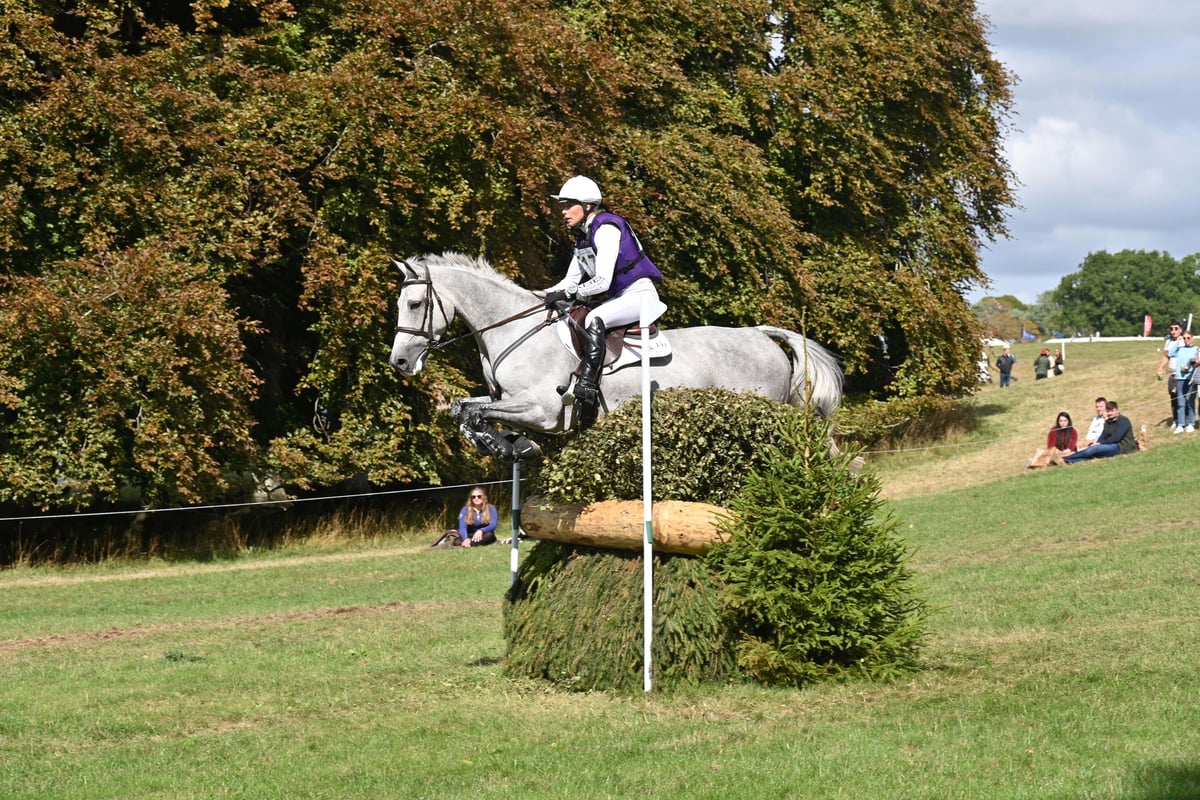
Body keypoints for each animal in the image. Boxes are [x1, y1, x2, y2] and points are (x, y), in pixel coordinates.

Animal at [388, 252, 843, 461]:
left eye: (414, 304)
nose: (400, 363)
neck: (515, 331)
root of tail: (758, 334)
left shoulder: (542, 410)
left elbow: (474, 412)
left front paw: (507, 446)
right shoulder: (508, 401)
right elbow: (465, 409)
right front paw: (509, 445)